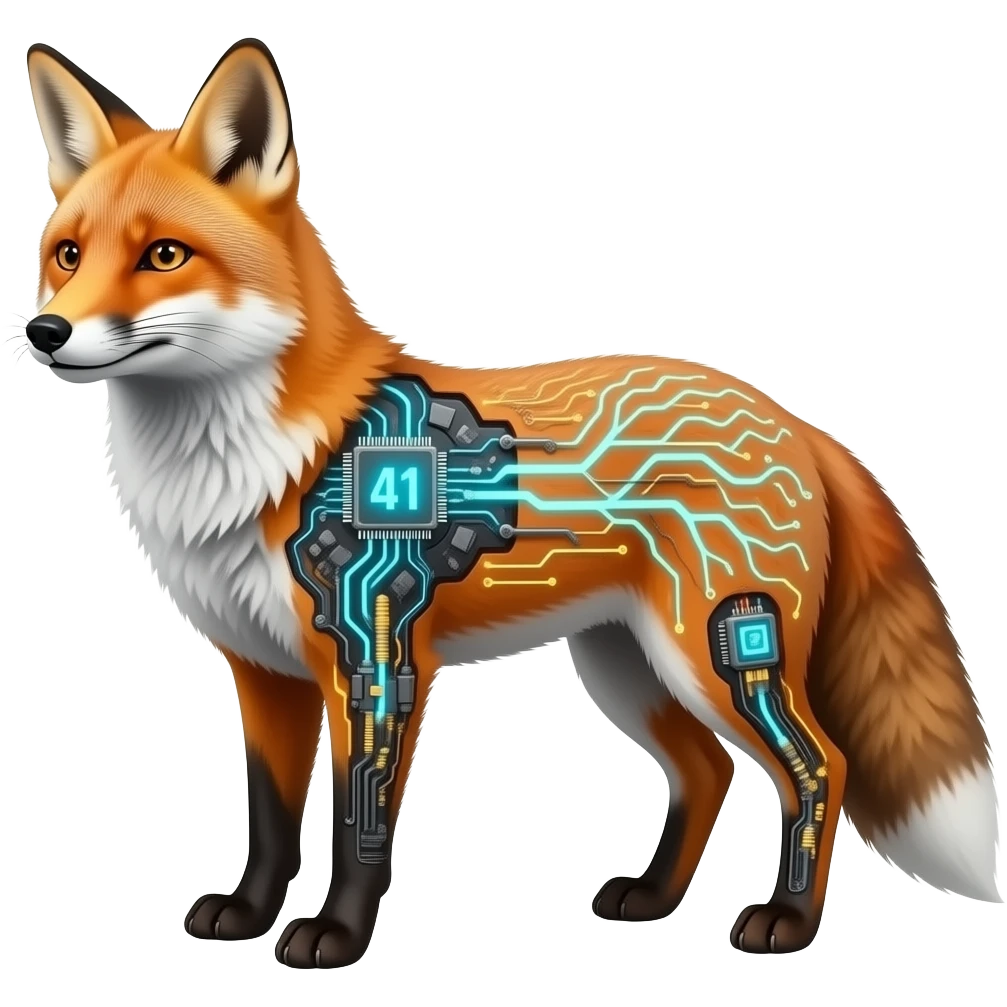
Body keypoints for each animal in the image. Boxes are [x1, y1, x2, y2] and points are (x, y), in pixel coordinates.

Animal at [17, 38, 1001, 969]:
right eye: (68, 255)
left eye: (164, 255)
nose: (45, 332)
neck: (268, 457)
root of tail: (794, 418)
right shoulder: (262, 671)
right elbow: (268, 820)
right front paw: (248, 915)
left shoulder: (374, 652)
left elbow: (358, 829)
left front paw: (335, 936)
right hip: (627, 666)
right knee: (708, 769)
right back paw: (650, 898)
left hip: (719, 650)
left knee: (816, 767)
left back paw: (787, 921)